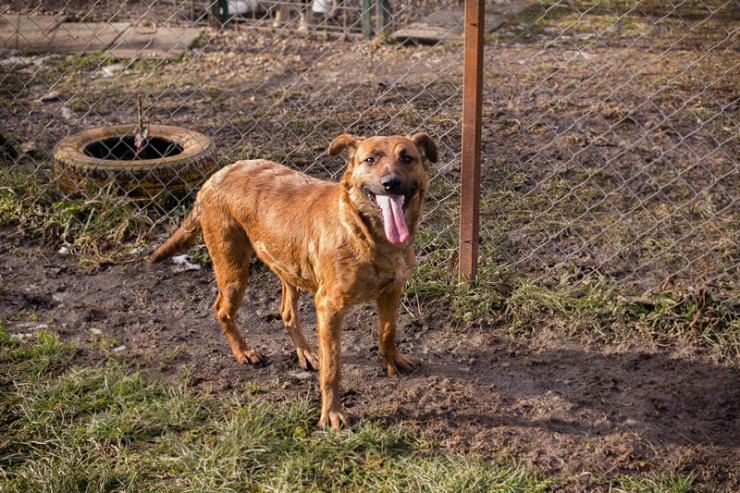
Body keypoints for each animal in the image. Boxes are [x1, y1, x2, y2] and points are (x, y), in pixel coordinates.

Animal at [151, 134, 440, 426]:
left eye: (407, 158)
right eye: (370, 159)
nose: (391, 183)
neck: (365, 233)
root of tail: (217, 175)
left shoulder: (391, 291)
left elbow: (387, 332)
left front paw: (392, 360)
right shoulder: (329, 307)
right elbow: (332, 368)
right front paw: (332, 412)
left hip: (290, 266)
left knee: (286, 312)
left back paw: (306, 353)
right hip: (233, 271)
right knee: (221, 309)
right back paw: (243, 352)